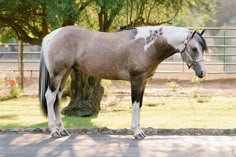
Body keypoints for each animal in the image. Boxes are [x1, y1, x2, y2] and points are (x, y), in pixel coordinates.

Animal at [39, 25, 207, 140]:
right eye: (194, 48)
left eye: (202, 49)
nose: (202, 73)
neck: (146, 45)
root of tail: (50, 36)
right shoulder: (136, 80)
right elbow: (135, 104)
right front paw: (137, 133)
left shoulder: (143, 81)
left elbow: (139, 105)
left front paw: (140, 131)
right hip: (57, 74)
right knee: (50, 97)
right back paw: (53, 131)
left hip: (65, 73)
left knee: (57, 98)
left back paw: (62, 130)